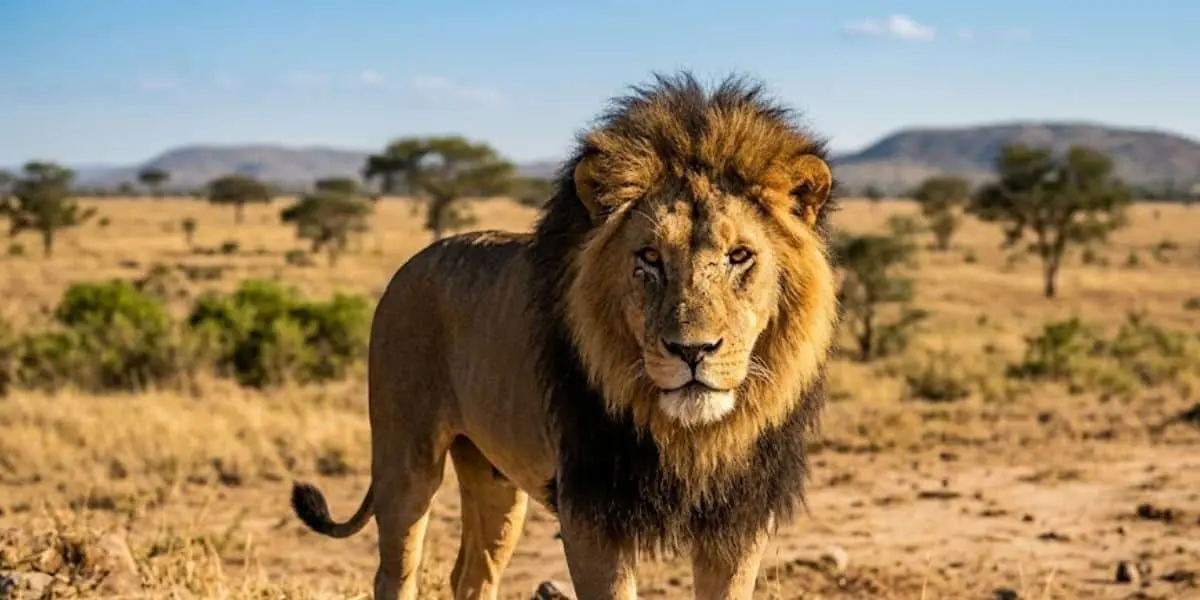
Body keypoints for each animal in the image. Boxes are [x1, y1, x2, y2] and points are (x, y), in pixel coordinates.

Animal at [290, 71, 840, 600]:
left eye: (739, 256)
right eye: (649, 258)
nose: (692, 351)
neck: (689, 435)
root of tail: (411, 264)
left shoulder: (739, 516)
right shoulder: (589, 509)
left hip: (494, 476)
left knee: (471, 576)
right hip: (406, 458)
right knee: (396, 573)